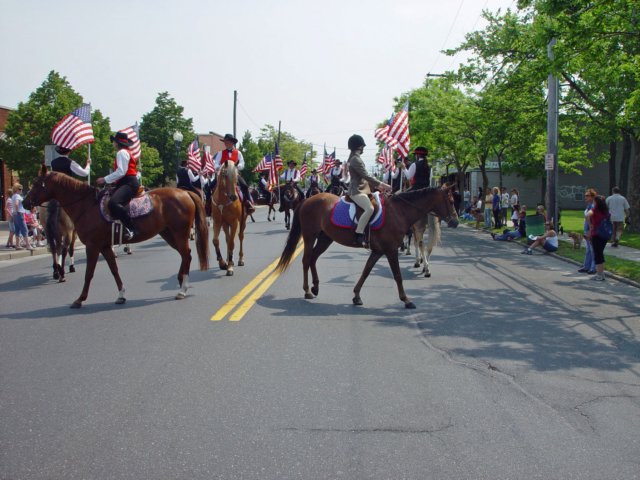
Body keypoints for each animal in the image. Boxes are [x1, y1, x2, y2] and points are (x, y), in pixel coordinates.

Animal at [23, 165, 209, 308]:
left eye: (37, 183)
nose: (25, 203)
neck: (86, 205)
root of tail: (185, 193)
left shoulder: (93, 245)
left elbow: (89, 273)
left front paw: (80, 299)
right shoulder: (104, 246)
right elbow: (114, 270)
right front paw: (121, 295)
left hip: (179, 233)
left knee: (186, 255)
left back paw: (182, 289)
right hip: (168, 233)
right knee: (186, 255)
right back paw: (180, 281)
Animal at [278, 186, 458, 310]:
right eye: (450, 201)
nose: (455, 222)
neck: (399, 211)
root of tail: (307, 200)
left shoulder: (378, 251)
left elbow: (366, 271)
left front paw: (356, 296)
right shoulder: (390, 250)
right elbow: (397, 275)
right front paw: (406, 300)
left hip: (325, 238)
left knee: (313, 259)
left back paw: (315, 287)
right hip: (310, 236)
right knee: (306, 260)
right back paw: (307, 291)